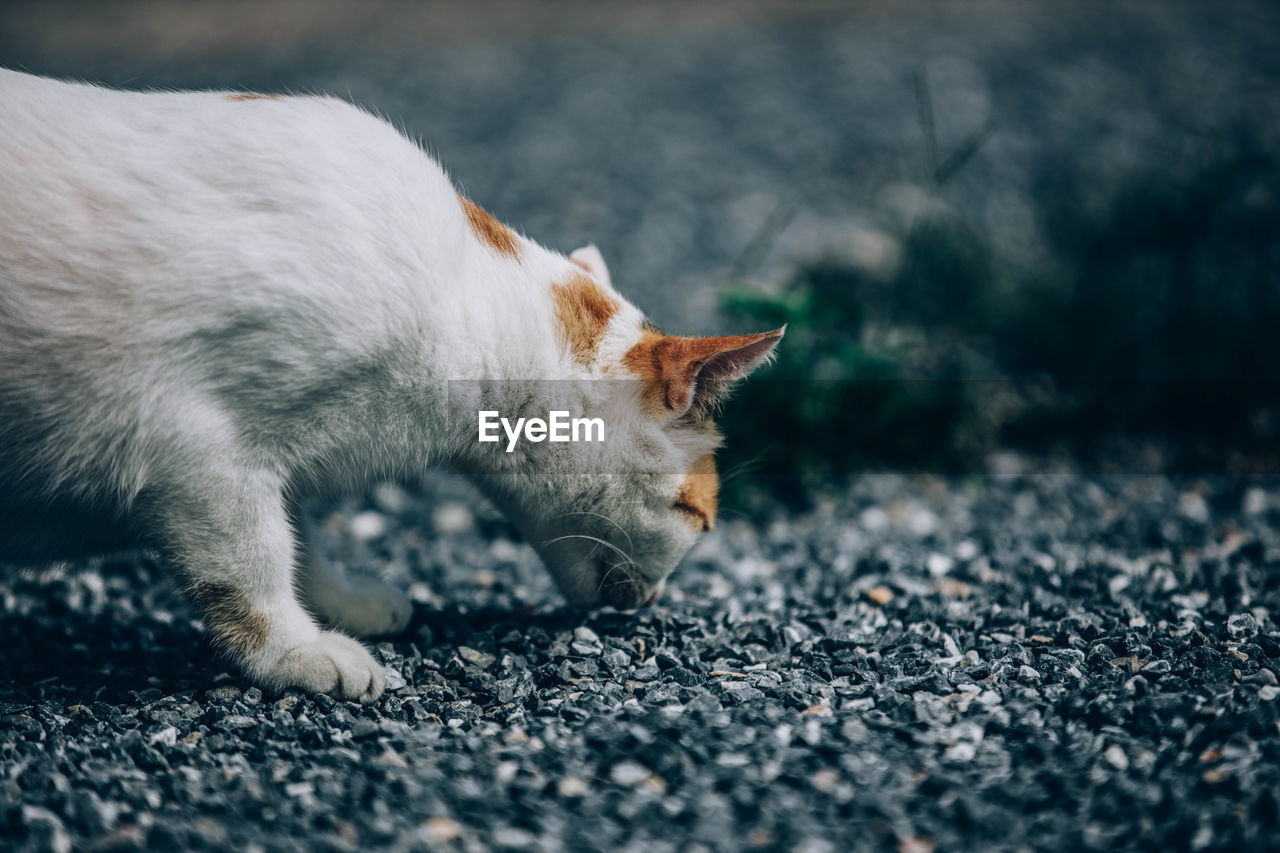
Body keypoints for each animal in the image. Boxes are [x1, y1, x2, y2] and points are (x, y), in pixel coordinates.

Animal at [0, 69, 778, 701]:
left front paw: (339, 603)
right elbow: (254, 559)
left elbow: (298, 532)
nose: (653, 603)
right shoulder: (201, 449)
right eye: (698, 515)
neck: (465, 306)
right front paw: (296, 652)